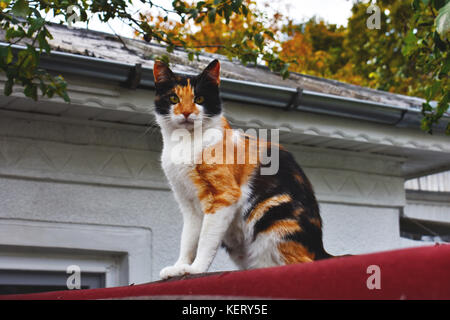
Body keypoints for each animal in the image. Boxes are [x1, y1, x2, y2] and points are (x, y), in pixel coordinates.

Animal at [152, 58, 330, 278]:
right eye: (173, 98)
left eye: (199, 98)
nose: (186, 112)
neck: (184, 143)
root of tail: (320, 249)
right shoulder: (188, 204)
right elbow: (188, 239)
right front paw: (178, 267)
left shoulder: (224, 196)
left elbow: (205, 240)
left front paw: (196, 269)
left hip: (272, 217)